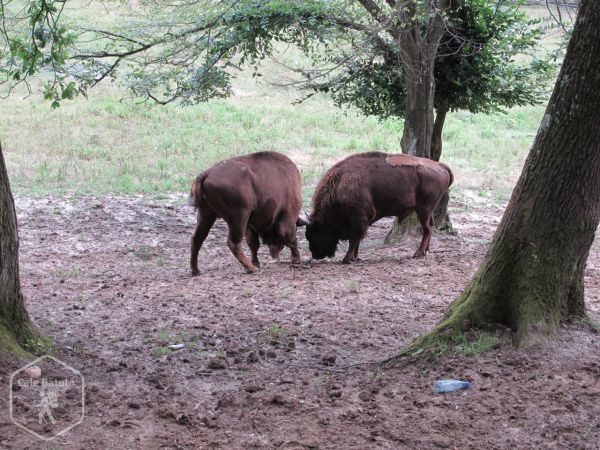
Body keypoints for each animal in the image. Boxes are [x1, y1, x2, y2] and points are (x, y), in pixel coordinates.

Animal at [302, 152, 452, 262]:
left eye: (315, 232)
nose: (315, 255)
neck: (339, 184)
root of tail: (440, 165)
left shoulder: (360, 218)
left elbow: (354, 239)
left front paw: (347, 259)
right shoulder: (361, 221)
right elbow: (357, 240)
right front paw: (355, 257)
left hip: (423, 208)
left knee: (427, 228)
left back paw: (418, 253)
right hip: (428, 210)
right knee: (431, 226)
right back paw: (426, 250)